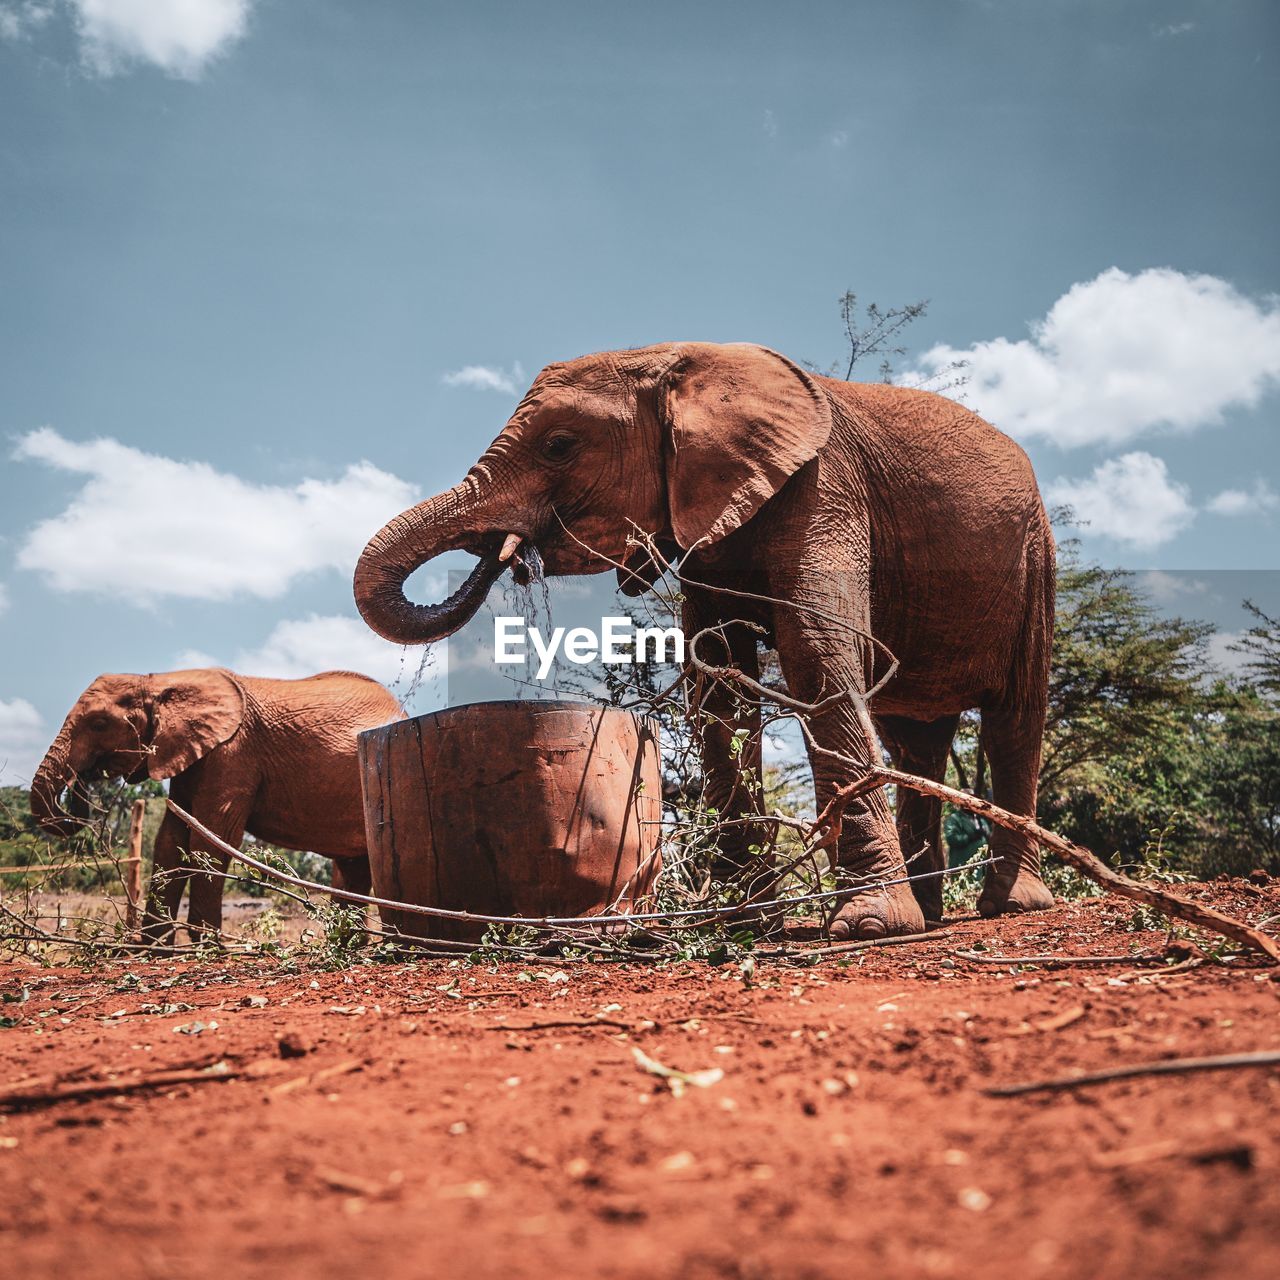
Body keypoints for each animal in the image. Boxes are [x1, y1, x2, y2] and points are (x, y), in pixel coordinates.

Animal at [30, 670, 401, 942]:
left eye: (99, 724)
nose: (83, 777)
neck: (159, 681)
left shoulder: (232, 753)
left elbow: (210, 839)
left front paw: (207, 947)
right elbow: (170, 840)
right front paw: (154, 950)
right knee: (355, 866)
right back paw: (346, 946)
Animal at [353, 340, 1059, 942]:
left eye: (558, 445)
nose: (509, 555)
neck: (678, 359)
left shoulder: (823, 488)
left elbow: (816, 651)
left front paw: (869, 926)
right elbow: (715, 679)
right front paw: (743, 922)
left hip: (1034, 557)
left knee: (1014, 719)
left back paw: (1010, 906)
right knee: (917, 738)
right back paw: (933, 909)